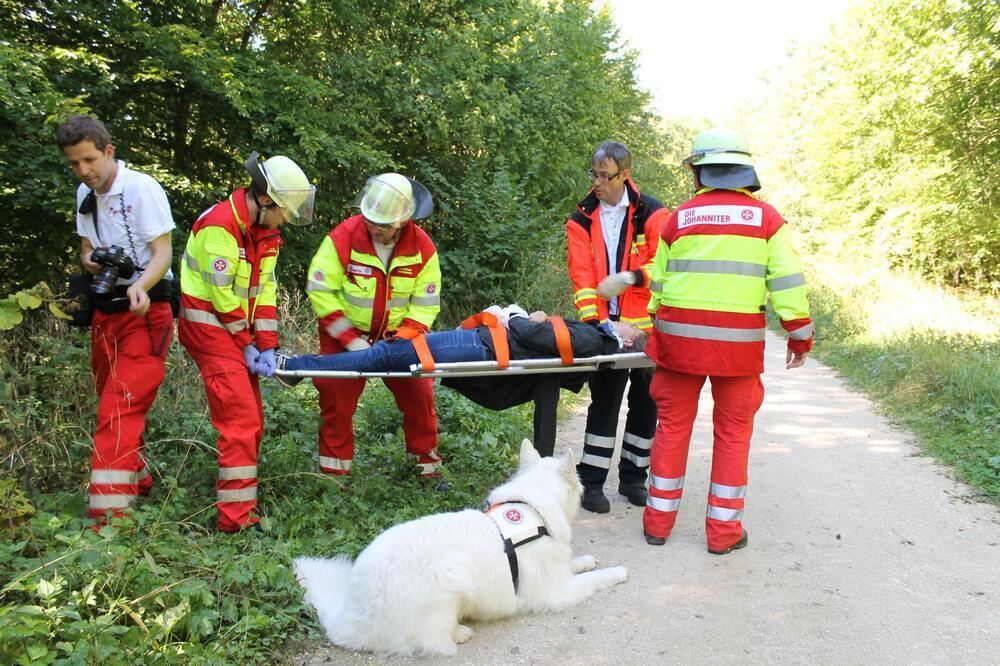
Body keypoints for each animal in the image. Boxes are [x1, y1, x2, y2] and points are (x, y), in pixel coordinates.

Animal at [292, 436, 628, 652]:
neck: (532, 507)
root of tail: (349, 617)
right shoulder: (557, 592)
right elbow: (595, 579)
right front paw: (618, 572)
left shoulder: (558, 573)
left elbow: (577, 565)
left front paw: (586, 560)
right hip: (452, 572)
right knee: (430, 640)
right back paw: (459, 632)